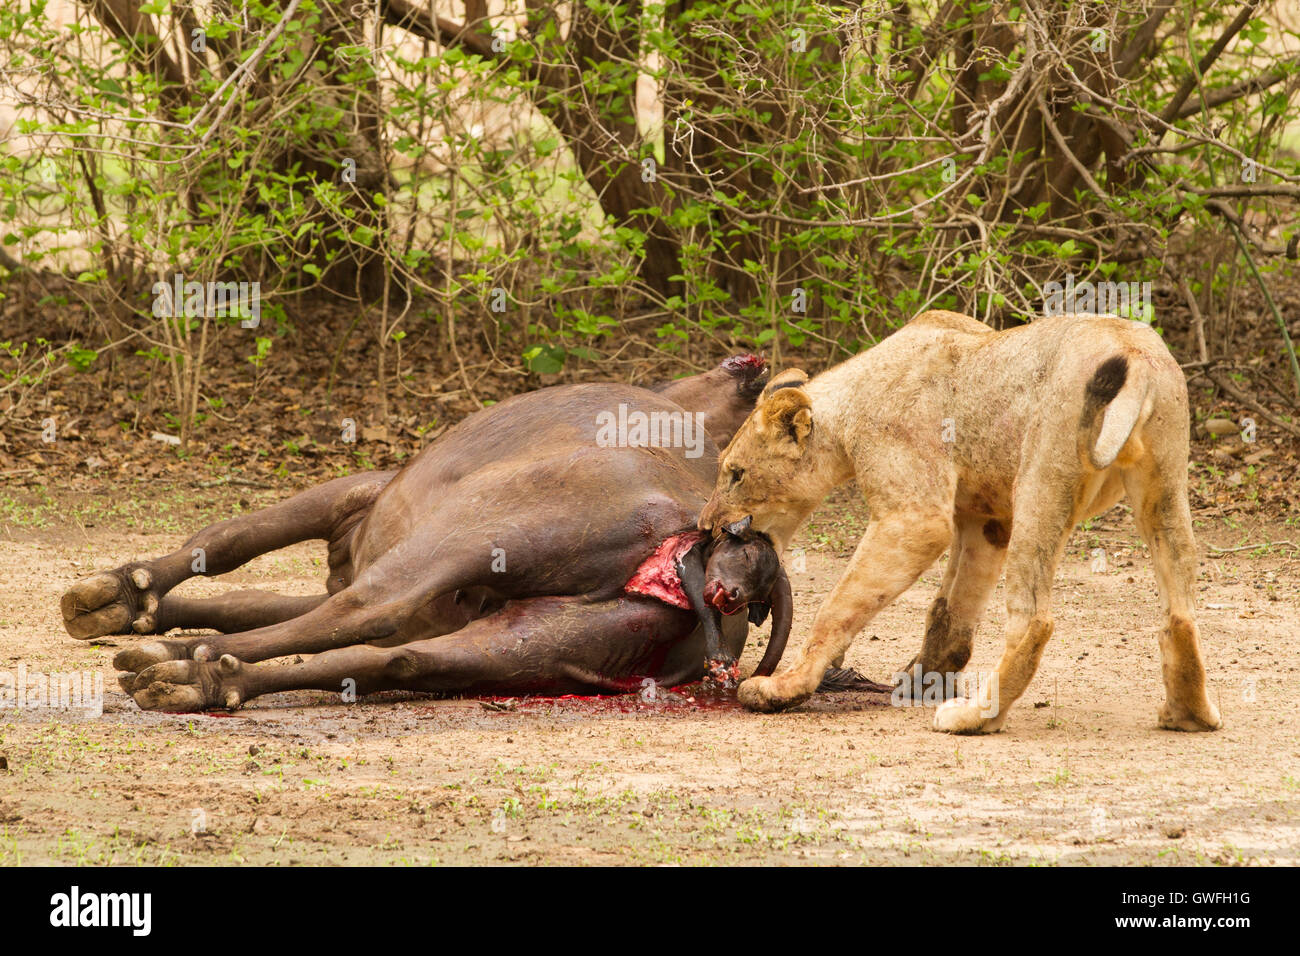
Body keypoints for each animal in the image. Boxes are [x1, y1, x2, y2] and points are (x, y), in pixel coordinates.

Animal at [702, 310, 1216, 738]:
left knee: (1034, 619)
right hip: (1165, 483)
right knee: (1180, 610)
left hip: (1043, 478)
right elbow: (950, 611)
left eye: (736, 474)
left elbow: (837, 607)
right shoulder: (988, 519)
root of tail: (1134, 353)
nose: (708, 528)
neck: (848, 412)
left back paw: (974, 718)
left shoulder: (916, 517)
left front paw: (784, 687)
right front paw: (922, 680)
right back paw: (1188, 714)